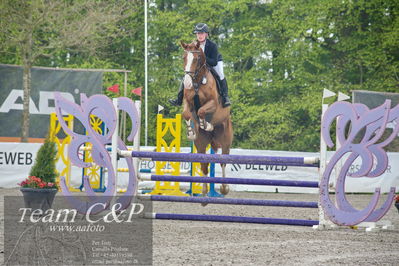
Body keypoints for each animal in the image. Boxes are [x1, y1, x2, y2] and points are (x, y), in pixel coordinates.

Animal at [180, 40, 233, 197]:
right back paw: (203, 192)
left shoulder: (213, 104)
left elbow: (202, 111)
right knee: (204, 165)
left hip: (225, 140)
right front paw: (191, 131)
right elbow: (186, 114)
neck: (198, 81)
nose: (187, 83)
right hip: (201, 144)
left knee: (223, 162)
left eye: (197, 59)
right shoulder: (188, 103)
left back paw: (224, 188)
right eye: (184, 58)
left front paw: (207, 124)